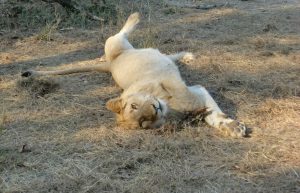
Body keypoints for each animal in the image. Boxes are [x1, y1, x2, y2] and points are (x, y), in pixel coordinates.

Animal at [22, 12, 248, 136]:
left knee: (119, 33)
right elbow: (211, 116)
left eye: (133, 105)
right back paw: (185, 56)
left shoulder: (192, 89)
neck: (169, 105)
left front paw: (232, 126)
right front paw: (230, 127)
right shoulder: (195, 93)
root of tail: (110, 64)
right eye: (142, 122)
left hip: (115, 45)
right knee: (166, 54)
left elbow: (210, 109)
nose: (155, 109)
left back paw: (135, 18)